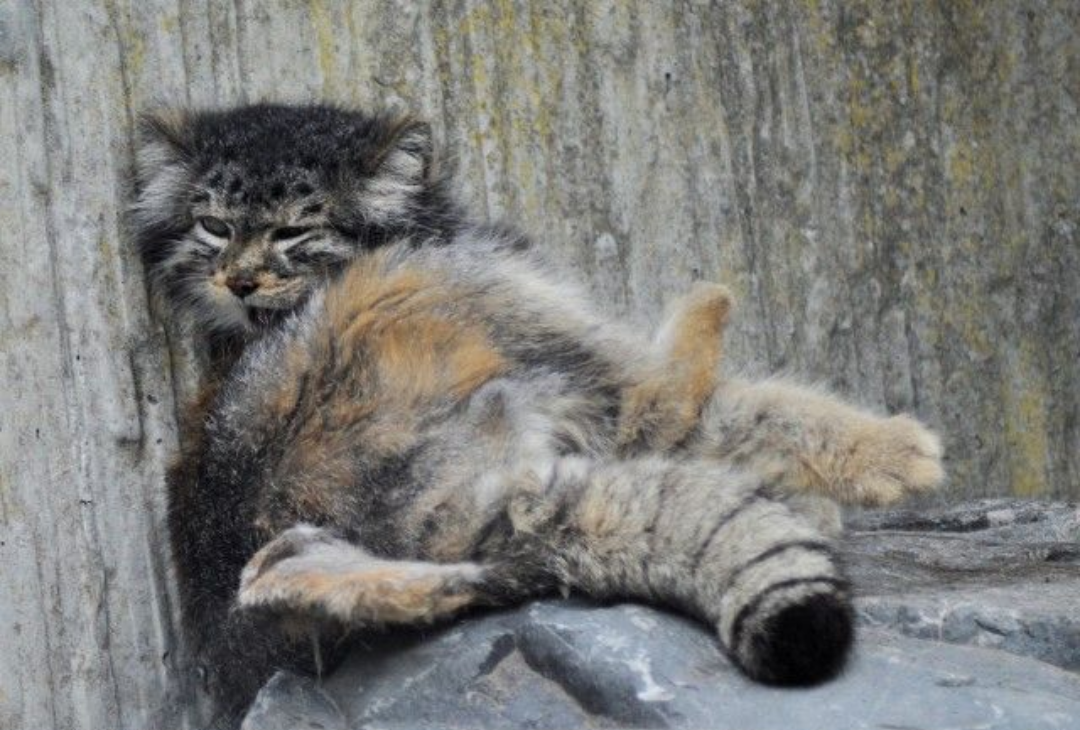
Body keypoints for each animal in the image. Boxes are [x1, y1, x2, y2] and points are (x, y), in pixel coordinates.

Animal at [128, 102, 946, 725]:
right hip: (478, 309)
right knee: (666, 399)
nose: (238, 280)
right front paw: (893, 454)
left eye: (293, 231)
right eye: (214, 226)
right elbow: (727, 406)